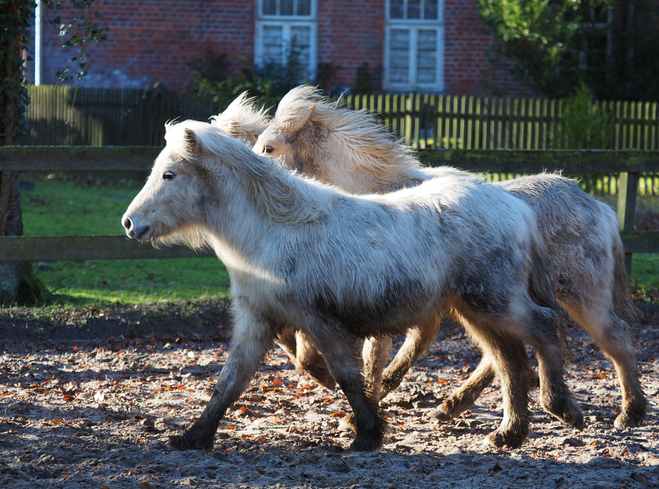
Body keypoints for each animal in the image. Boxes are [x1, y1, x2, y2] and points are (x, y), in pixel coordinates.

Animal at [122, 119, 584, 450]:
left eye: (169, 174)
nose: (129, 223)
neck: (273, 231)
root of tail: (517, 207)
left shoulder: (322, 323)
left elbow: (347, 375)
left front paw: (367, 434)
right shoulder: (257, 321)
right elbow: (229, 381)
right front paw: (192, 437)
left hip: (495, 302)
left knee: (544, 328)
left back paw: (561, 409)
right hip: (475, 310)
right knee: (510, 361)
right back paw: (510, 434)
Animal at [254, 86, 648, 428]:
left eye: (269, 147)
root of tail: (600, 208)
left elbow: (377, 354)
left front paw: (355, 402)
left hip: (580, 296)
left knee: (614, 338)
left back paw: (629, 413)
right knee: (501, 355)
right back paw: (453, 406)